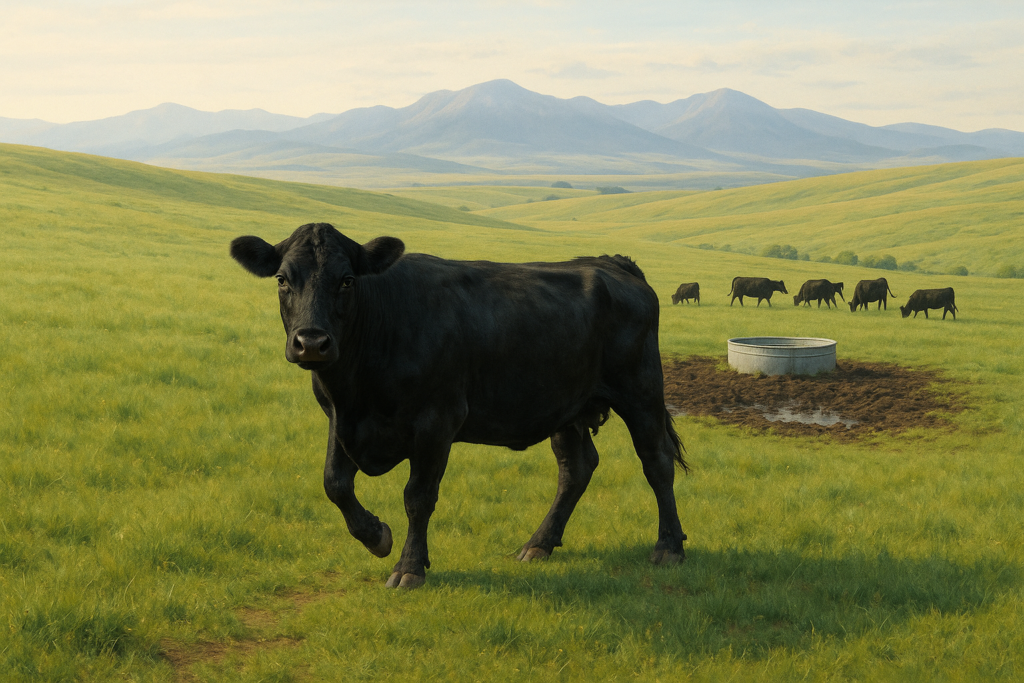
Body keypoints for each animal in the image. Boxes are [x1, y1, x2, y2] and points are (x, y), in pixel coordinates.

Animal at [230, 223, 688, 589]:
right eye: (282, 279)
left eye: (346, 280)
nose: (311, 342)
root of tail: (612, 262)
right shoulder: (339, 419)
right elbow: (335, 483)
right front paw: (376, 536)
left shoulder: (437, 422)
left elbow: (417, 496)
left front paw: (409, 567)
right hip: (567, 406)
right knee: (575, 469)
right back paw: (538, 544)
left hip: (641, 392)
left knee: (657, 462)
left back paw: (669, 547)